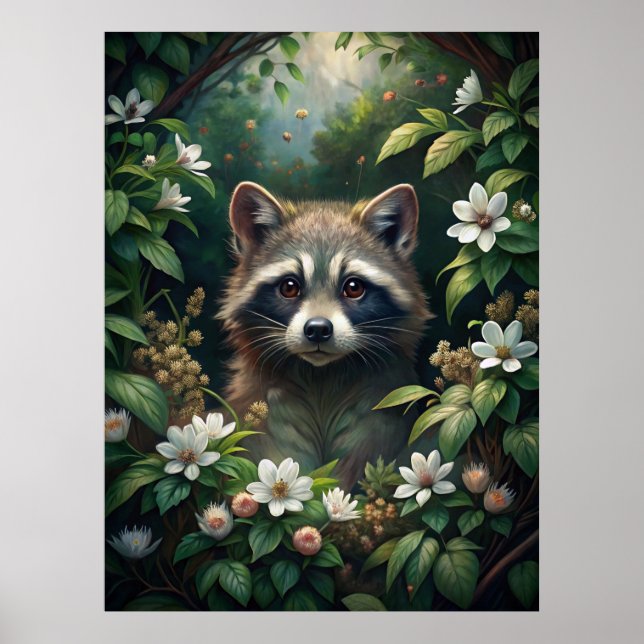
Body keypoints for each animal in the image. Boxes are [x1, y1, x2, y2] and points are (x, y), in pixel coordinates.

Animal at [217, 182, 432, 489]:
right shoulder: (264, 408)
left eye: (353, 287)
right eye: (289, 287)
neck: (321, 377)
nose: (318, 329)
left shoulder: (381, 406)